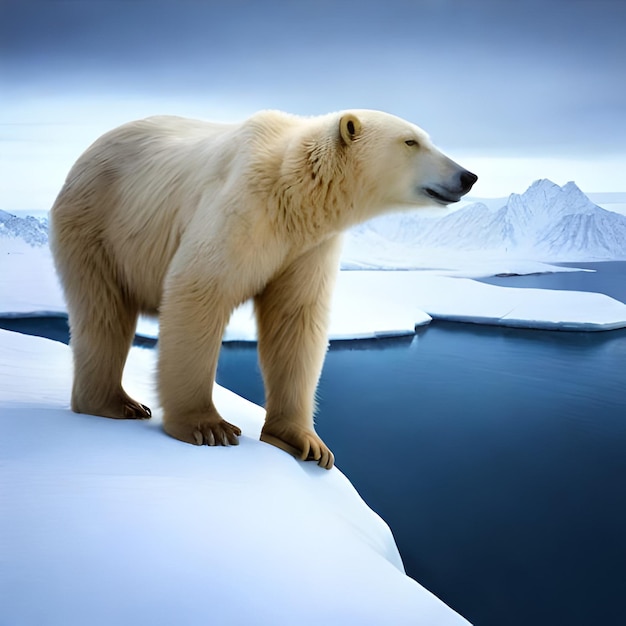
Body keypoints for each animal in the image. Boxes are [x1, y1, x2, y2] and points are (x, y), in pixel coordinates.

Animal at [50, 109, 478, 466]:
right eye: (411, 142)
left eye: (426, 137)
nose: (468, 176)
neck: (293, 191)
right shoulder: (242, 209)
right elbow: (199, 288)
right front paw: (208, 426)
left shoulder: (308, 246)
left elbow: (296, 317)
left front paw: (305, 442)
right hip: (97, 223)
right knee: (104, 311)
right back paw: (114, 404)